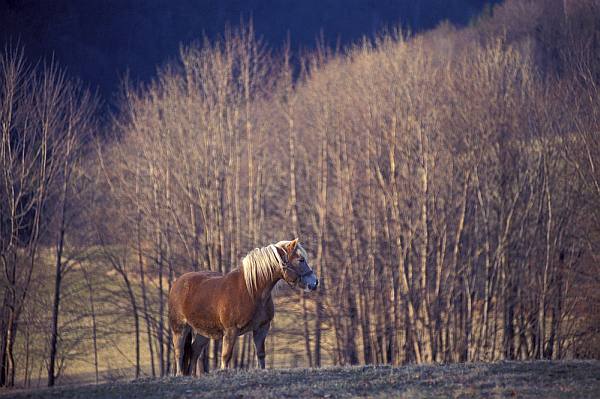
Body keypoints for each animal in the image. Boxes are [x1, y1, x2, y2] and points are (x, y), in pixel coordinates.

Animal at [169, 238, 318, 376]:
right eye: (301, 259)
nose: (314, 282)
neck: (251, 291)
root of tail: (177, 282)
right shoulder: (231, 331)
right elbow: (226, 356)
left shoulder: (262, 328)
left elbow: (261, 354)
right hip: (180, 328)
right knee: (179, 352)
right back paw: (179, 374)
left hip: (204, 332)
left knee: (194, 351)